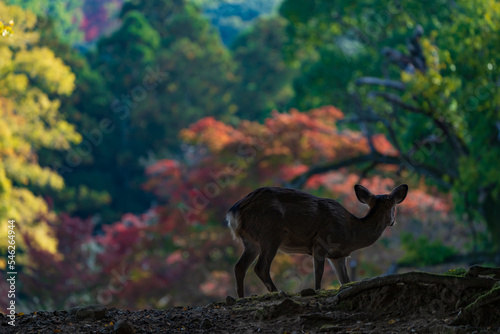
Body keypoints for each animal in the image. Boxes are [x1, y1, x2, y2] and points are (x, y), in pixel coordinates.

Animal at [227, 185, 406, 298]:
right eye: (395, 207)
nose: (393, 221)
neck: (351, 232)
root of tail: (234, 211)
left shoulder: (338, 256)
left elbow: (346, 281)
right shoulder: (321, 241)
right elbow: (318, 274)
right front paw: (317, 291)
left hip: (251, 241)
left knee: (239, 266)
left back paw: (241, 298)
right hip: (270, 233)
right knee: (260, 267)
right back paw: (279, 292)